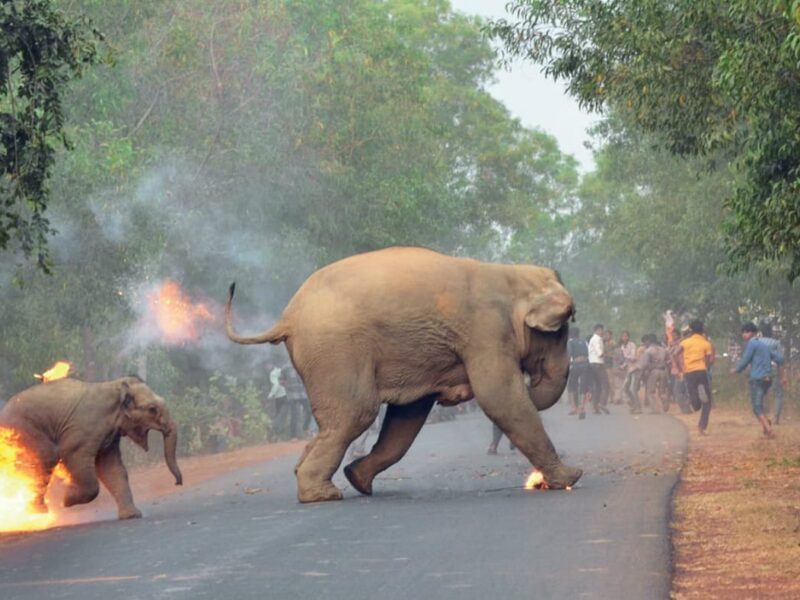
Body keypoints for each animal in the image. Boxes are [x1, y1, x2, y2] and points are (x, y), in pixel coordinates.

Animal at [0, 376, 182, 520]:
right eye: (152, 409)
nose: (177, 483)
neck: (115, 386)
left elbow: (112, 468)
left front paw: (132, 516)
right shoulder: (83, 429)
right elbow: (73, 455)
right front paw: (67, 499)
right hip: (23, 430)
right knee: (47, 456)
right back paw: (38, 511)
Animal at [225, 246, 581, 503]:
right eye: (561, 331)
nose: (532, 381)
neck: (510, 274)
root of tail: (288, 316)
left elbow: (407, 417)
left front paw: (358, 477)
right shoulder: (486, 331)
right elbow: (500, 396)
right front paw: (571, 477)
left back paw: (326, 480)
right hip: (336, 351)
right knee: (356, 413)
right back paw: (322, 495)